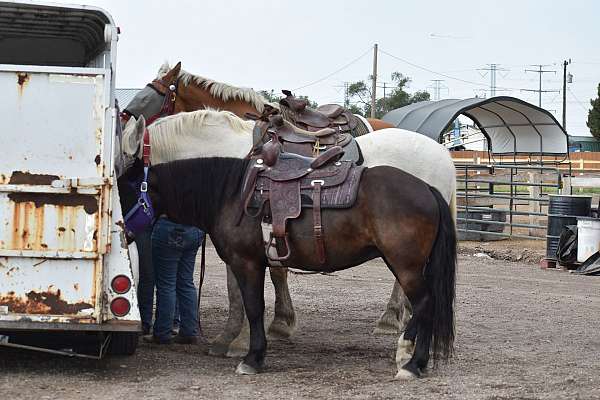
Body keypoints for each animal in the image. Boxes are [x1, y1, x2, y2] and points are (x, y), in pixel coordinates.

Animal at [120, 62, 460, 346]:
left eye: (149, 97)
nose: (123, 119)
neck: (234, 154)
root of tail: (442, 152)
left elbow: (254, 280)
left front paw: (252, 333)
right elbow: (254, 278)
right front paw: (250, 330)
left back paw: (394, 320)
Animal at [143, 110, 458, 378]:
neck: (233, 189)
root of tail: (427, 186)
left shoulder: (246, 261)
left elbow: (251, 304)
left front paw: (247, 353)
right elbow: (249, 296)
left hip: (406, 263)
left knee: (425, 302)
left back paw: (409, 358)